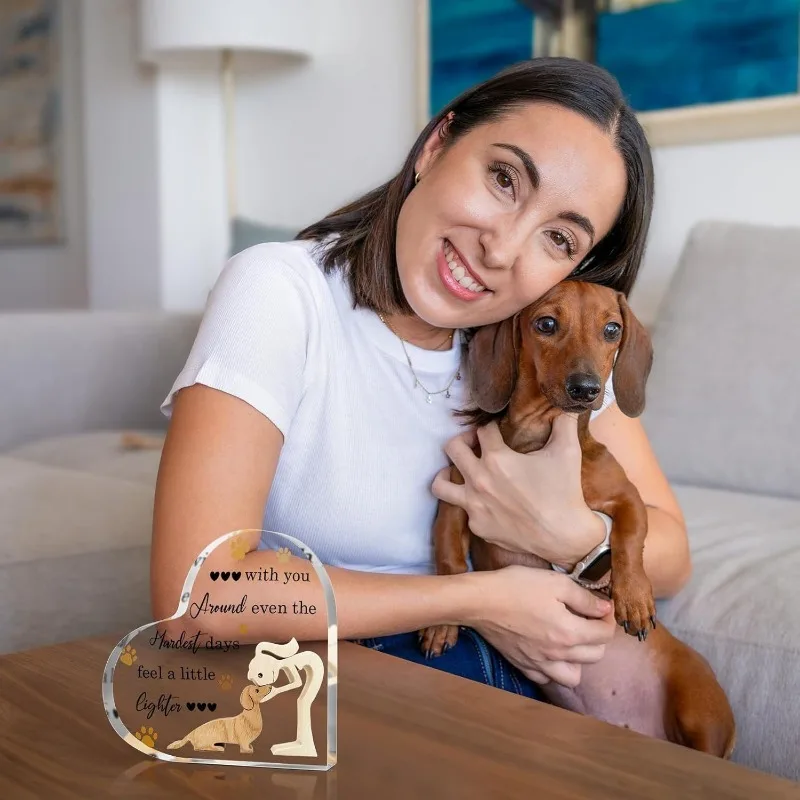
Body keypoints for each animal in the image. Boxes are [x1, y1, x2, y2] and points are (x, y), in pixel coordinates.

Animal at [421, 279, 736, 758]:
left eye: (612, 330)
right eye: (546, 324)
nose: (586, 388)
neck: (537, 439)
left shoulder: (628, 499)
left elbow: (628, 538)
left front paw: (634, 598)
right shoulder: (453, 500)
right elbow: (448, 558)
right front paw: (441, 624)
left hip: (699, 710)